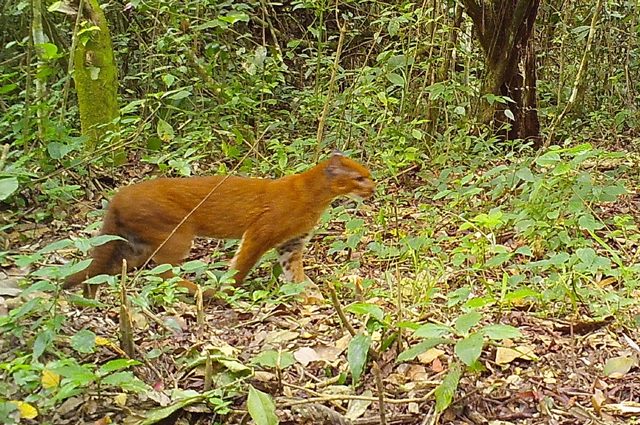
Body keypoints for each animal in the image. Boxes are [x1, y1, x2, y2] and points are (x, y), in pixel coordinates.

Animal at [63, 152, 376, 298]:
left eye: (367, 175)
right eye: (359, 178)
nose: (373, 187)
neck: (316, 194)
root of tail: (119, 195)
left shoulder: (292, 243)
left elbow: (294, 273)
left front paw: (310, 294)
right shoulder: (260, 232)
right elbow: (242, 264)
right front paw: (228, 290)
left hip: (134, 244)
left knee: (107, 270)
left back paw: (91, 295)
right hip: (178, 235)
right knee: (163, 272)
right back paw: (199, 290)